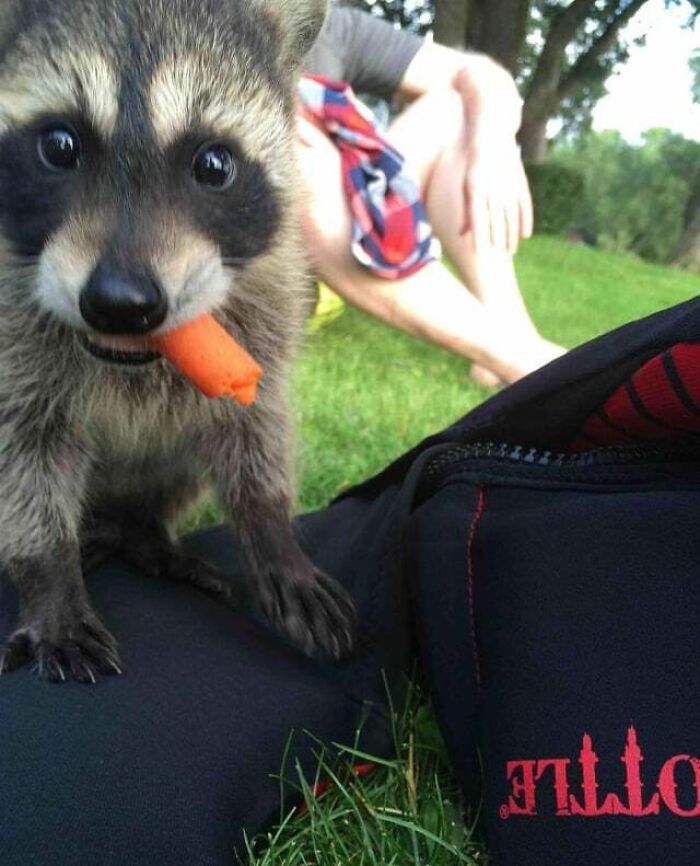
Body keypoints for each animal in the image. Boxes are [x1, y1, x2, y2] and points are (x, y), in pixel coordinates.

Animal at [0, 0, 357, 683]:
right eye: (59, 145)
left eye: (214, 164)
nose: (120, 303)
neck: (131, 359)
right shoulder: (12, 355)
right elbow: (22, 458)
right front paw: (48, 576)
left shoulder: (268, 313)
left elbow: (255, 427)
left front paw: (272, 530)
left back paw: (145, 534)